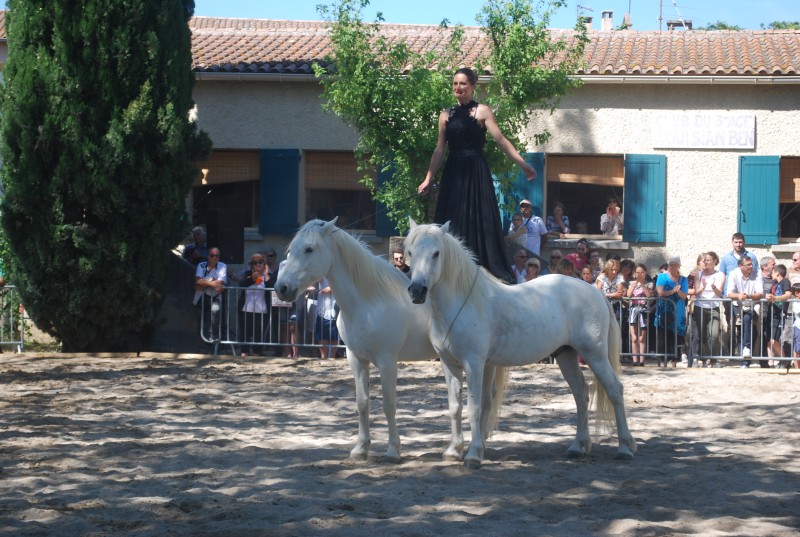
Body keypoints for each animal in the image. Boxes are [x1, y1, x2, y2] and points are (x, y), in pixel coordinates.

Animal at [272, 218, 504, 460]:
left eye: (309, 249)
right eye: (290, 250)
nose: (282, 288)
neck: (369, 302)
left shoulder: (387, 361)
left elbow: (389, 404)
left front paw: (393, 450)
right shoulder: (355, 358)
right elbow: (362, 403)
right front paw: (361, 448)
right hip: (487, 362)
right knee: (487, 400)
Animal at [406, 220, 636, 466]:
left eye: (436, 253)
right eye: (410, 252)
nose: (417, 291)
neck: (461, 304)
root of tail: (595, 291)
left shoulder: (474, 363)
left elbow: (474, 407)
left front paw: (474, 454)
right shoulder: (451, 364)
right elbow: (456, 407)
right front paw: (454, 450)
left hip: (595, 355)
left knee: (614, 390)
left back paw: (624, 448)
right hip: (567, 355)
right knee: (581, 394)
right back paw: (578, 446)